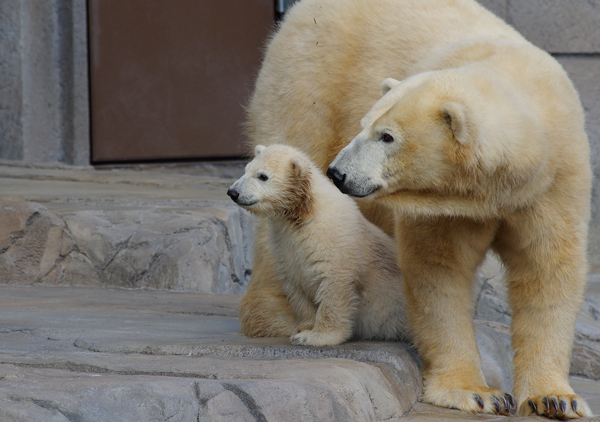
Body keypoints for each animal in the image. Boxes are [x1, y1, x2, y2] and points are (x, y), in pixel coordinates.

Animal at [241, 0, 592, 418]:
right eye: (365, 125)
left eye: (387, 136)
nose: (339, 172)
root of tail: (297, 11)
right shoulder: (442, 206)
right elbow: (439, 269)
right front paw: (475, 392)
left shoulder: (554, 183)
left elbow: (546, 272)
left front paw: (554, 398)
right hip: (308, 80)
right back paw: (281, 317)